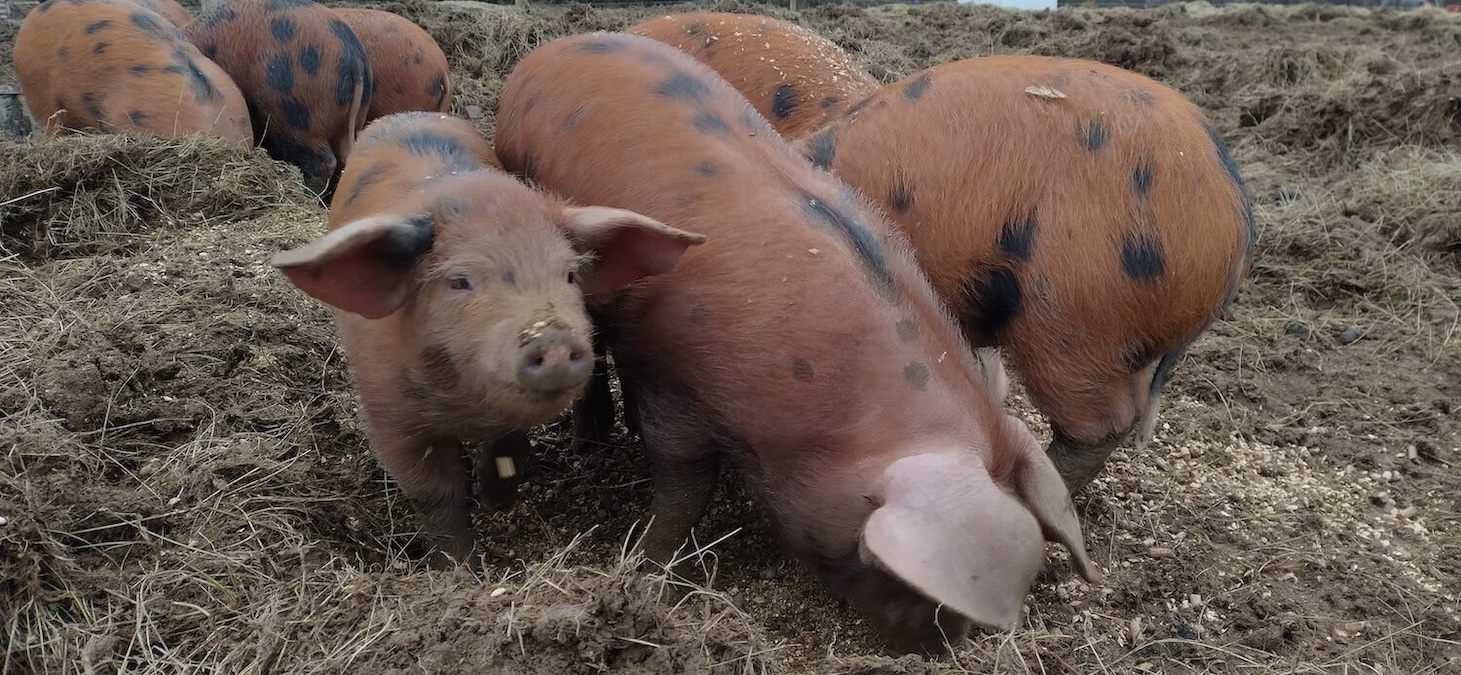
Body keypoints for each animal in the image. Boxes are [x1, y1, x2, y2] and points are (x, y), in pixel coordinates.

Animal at [184, 0, 372, 195]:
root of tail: (354, 58)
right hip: (352, 117)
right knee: (343, 159)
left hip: (295, 112)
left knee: (324, 161)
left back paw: (307, 192)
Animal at [268, 111, 706, 565]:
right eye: (460, 281)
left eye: (569, 275)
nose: (552, 337)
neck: (461, 403)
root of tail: (406, 115)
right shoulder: (387, 413)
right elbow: (434, 495)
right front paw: (458, 566)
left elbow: (504, 442)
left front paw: (499, 500)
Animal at [494, 32, 1100, 655]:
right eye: (888, 568)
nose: (943, 647)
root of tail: (554, 49)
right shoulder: (674, 382)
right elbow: (684, 487)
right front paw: (652, 573)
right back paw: (591, 440)